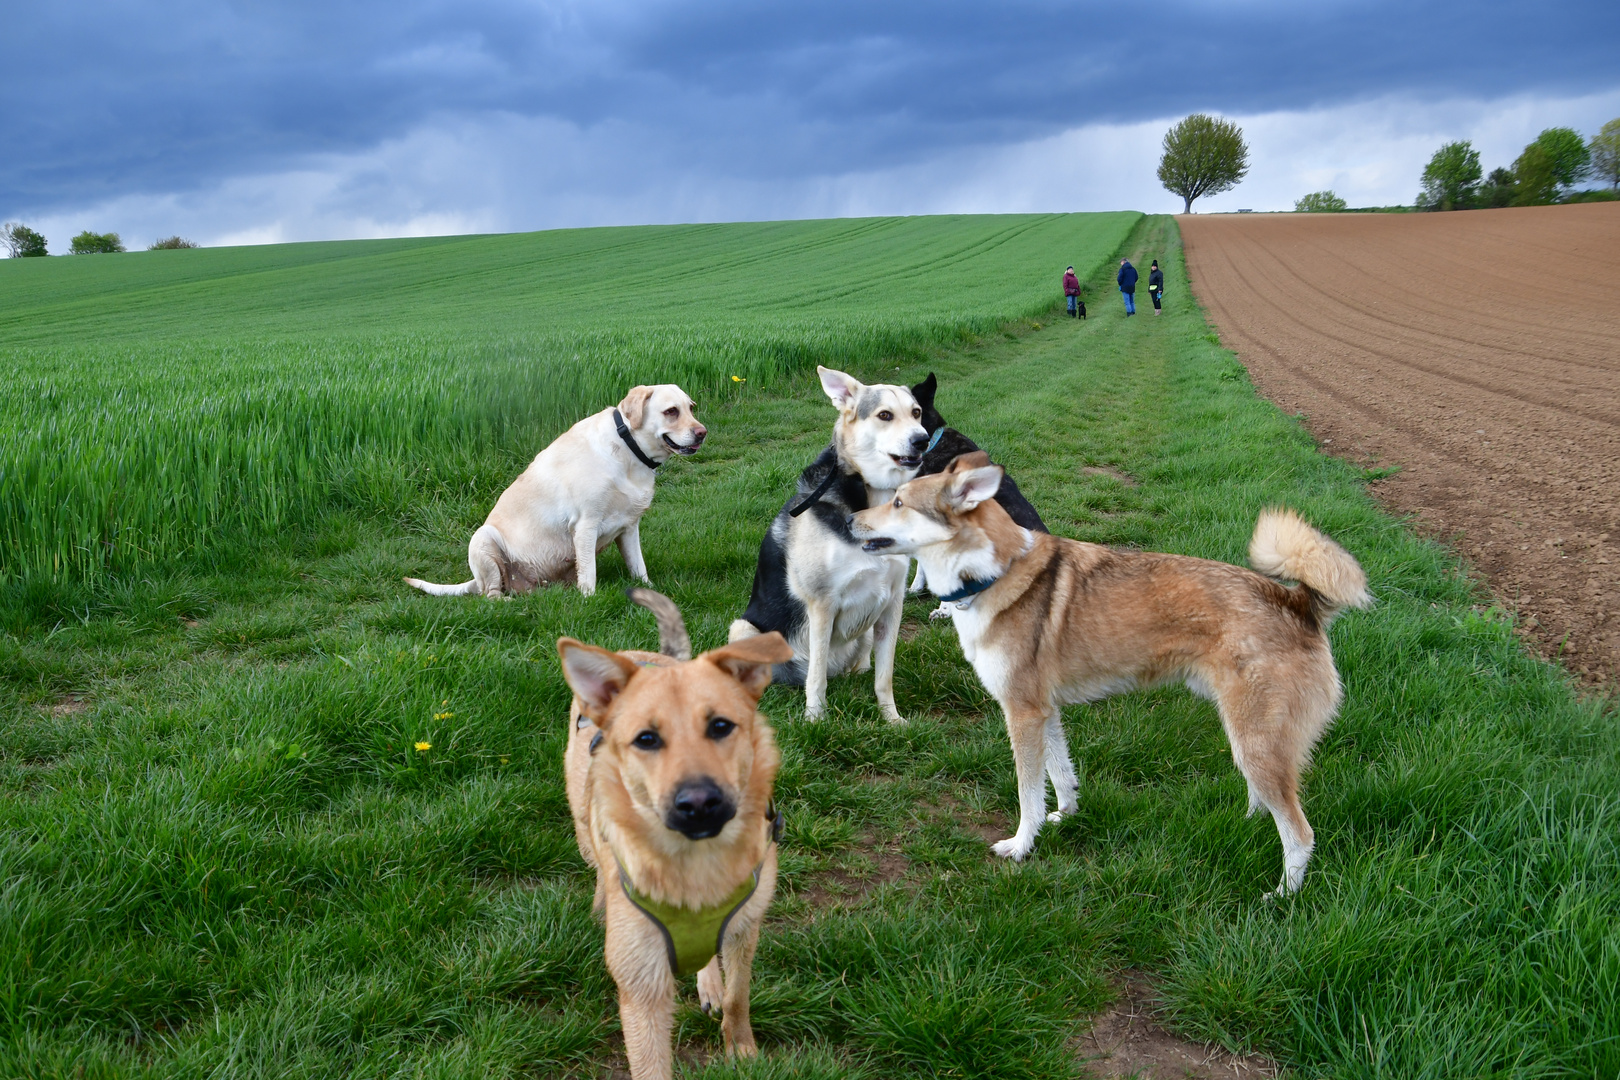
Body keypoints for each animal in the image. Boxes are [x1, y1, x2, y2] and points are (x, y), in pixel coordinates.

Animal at [405, 383, 703, 599]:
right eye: (671, 411)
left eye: (691, 408)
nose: (703, 433)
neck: (628, 447)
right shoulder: (585, 525)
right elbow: (589, 574)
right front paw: (589, 599)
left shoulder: (629, 527)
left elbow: (638, 566)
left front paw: (650, 592)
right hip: (483, 539)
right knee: (491, 595)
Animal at [560, 592, 793, 1080]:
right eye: (646, 739)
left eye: (721, 726)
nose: (700, 803)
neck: (698, 864)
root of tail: (645, 655)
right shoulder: (642, 985)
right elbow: (650, 1065)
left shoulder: (744, 930)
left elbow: (738, 998)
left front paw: (741, 1048)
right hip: (582, 825)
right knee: (595, 857)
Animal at [729, 367, 933, 722]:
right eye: (885, 415)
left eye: (917, 413)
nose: (921, 440)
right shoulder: (822, 605)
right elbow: (817, 676)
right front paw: (815, 719)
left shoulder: (892, 604)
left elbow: (885, 676)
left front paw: (892, 719)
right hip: (743, 629)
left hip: (865, 633)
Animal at [848, 456, 1367, 893]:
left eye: (899, 502)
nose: (849, 520)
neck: (995, 572)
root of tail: (1299, 602)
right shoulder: (1044, 711)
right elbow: (1060, 775)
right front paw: (1065, 817)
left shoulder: (1022, 712)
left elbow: (1027, 793)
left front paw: (1021, 846)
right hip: (1251, 739)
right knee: (1270, 802)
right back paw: (1248, 826)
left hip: (1255, 740)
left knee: (1300, 831)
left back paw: (1282, 895)